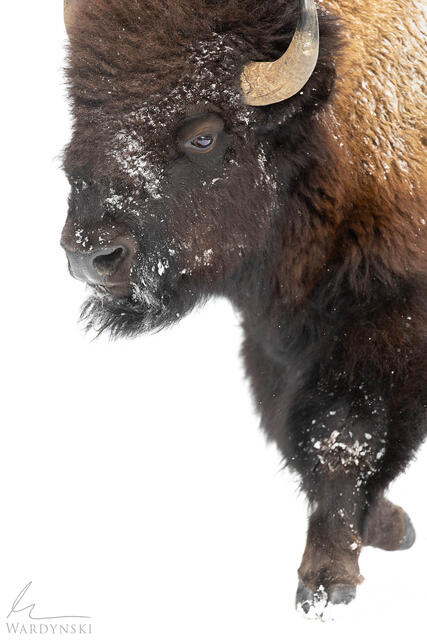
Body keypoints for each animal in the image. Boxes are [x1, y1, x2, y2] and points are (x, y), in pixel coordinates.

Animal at [60, 0, 426, 619]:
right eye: (81, 114)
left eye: (204, 137)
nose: (91, 255)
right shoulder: (272, 344)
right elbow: (295, 433)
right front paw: (386, 528)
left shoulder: (382, 330)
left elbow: (343, 440)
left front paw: (326, 582)